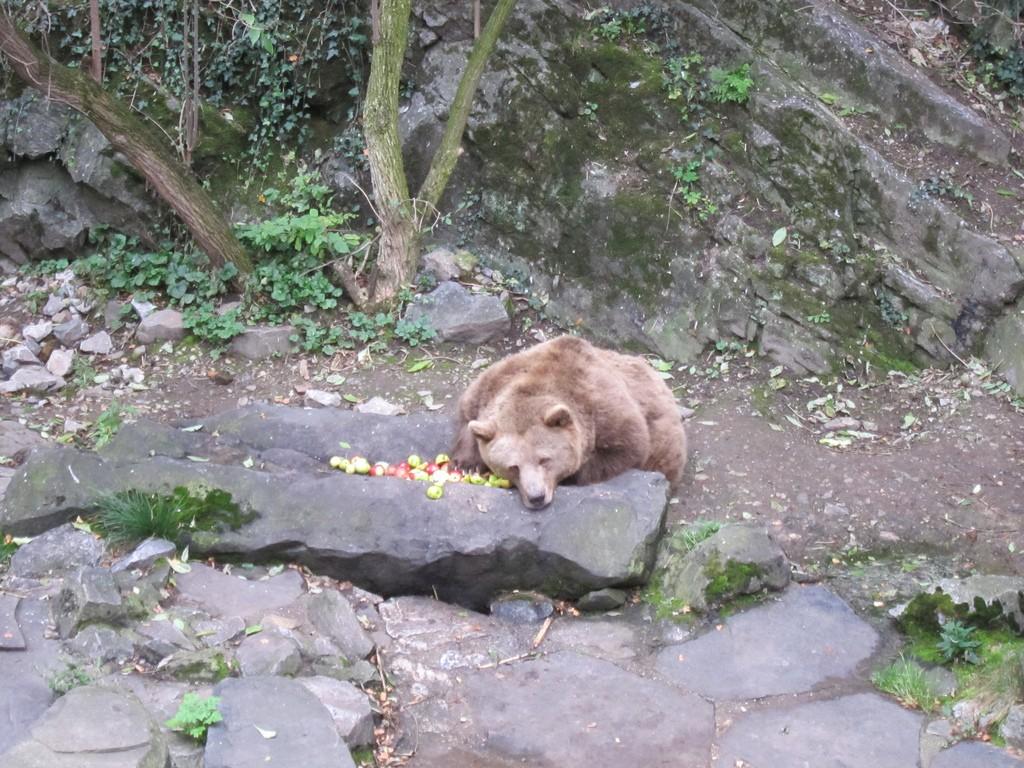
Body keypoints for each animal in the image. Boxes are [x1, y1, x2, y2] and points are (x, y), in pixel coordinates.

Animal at [450, 335, 684, 512]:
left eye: (544, 459)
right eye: (513, 467)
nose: (536, 497)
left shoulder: (603, 408)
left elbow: (627, 446)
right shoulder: (491, 383)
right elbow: (467, 414)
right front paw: (466, 464)